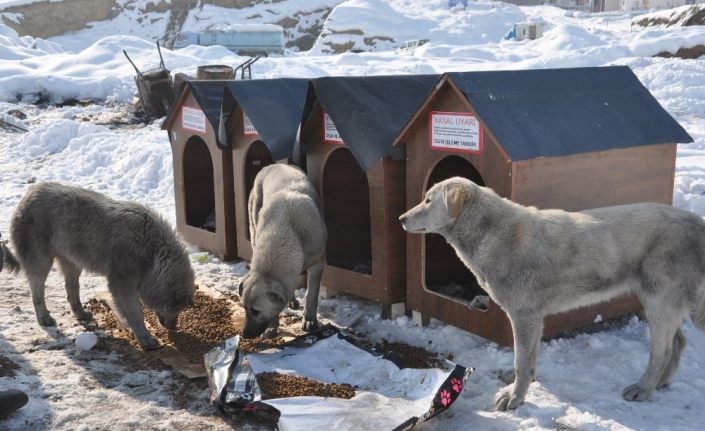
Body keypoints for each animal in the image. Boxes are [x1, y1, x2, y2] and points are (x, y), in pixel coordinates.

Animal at [1, 182, 194, 352]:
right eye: (176, 308)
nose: (173, 327)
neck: (151, 251)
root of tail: (28, 194)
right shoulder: (122, 284)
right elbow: (136, 314)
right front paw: (145, 338)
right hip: (41, 261)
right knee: (37, 292)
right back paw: (44, 318)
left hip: (72, 262)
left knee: (71, 290)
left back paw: (81, 314)